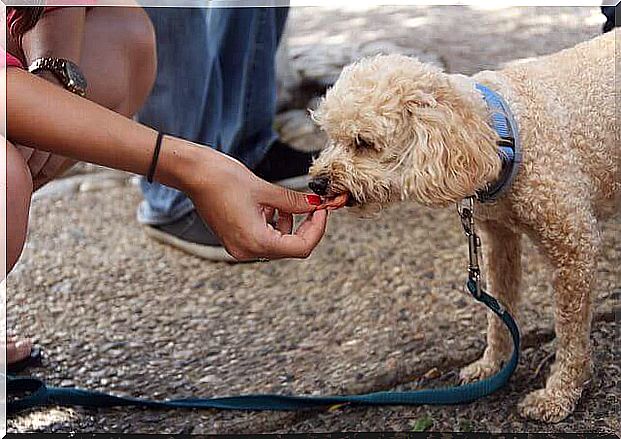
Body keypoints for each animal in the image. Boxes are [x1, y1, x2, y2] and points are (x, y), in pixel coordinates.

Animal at [308, 30, 616, 422]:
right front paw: (493, 364)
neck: (503, 132)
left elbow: (570, 332)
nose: (316, 183)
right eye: (330, 137)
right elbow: (499, 311)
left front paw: (559, 394)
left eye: (363, 142)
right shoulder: (499, 241)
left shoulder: (573, 247)